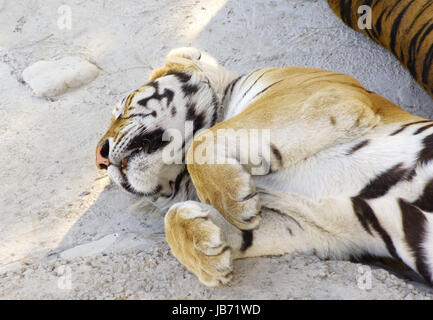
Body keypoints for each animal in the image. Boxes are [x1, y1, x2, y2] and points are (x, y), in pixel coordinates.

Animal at [95, 47, 432, 288]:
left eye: (122, 110)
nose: (100, 157)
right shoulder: (309, 226)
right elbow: (177, 218)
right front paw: (208, 256)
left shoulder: (317, 94)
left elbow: (200, 142)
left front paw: (233, 199)